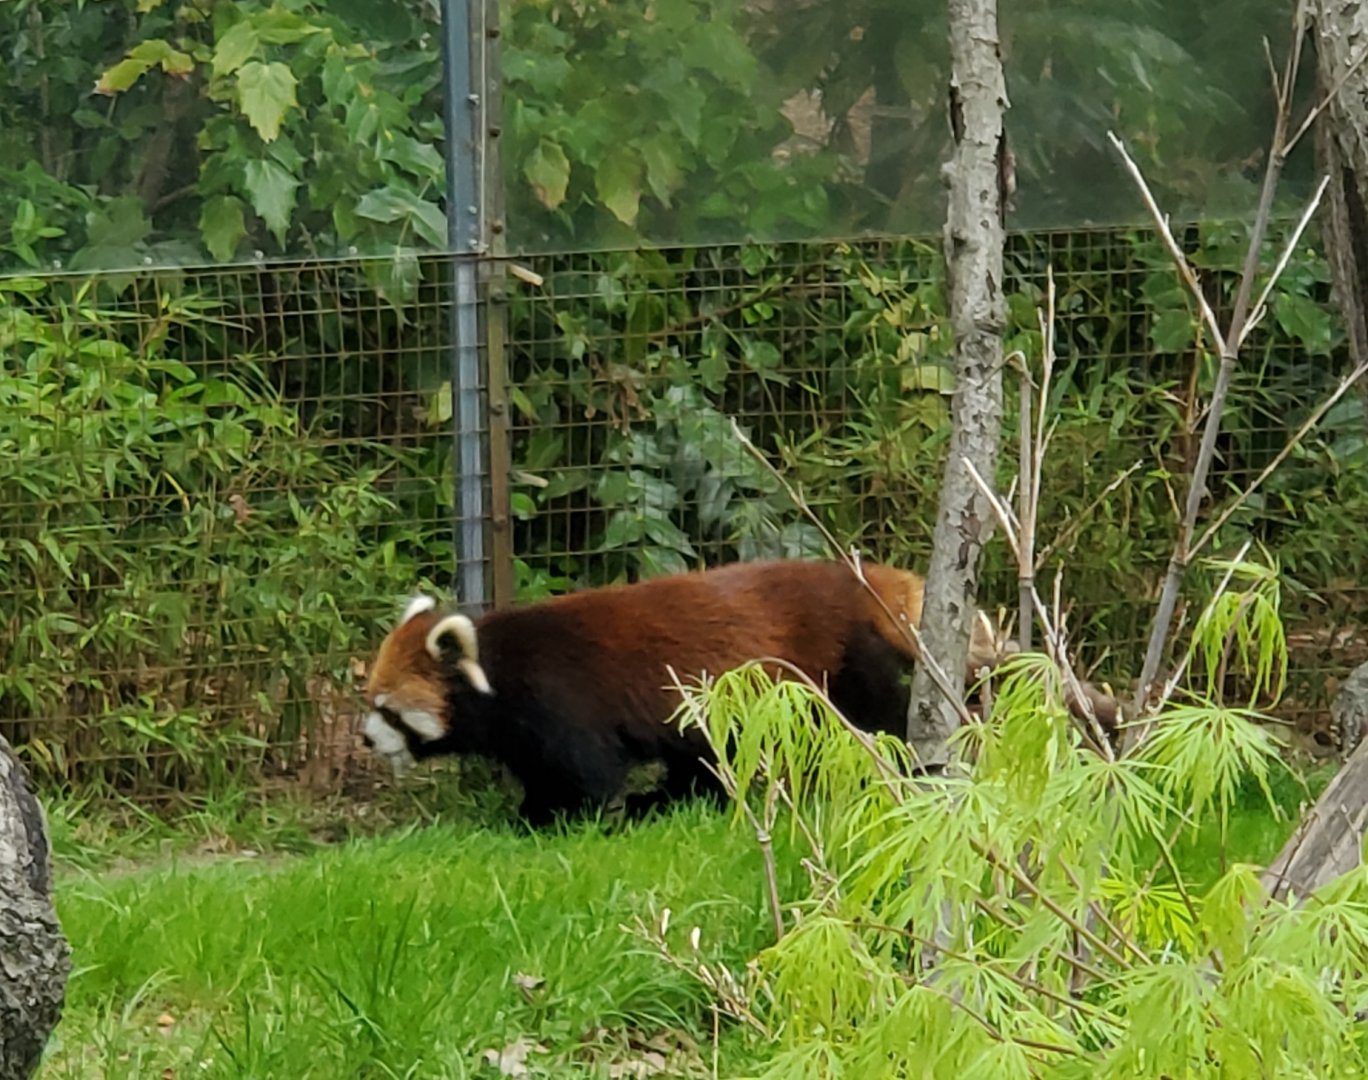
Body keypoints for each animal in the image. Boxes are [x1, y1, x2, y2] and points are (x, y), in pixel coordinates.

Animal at [359, 558, 1008, 825]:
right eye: (370, 703)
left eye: (388, 711)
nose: (364, 740)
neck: (499, 664)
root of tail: (852, 579)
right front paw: (530, 812)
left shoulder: (562, 703)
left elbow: (587, 775)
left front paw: (549, 822)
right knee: (703, 757)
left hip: (835, 665)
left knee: (873, 717)